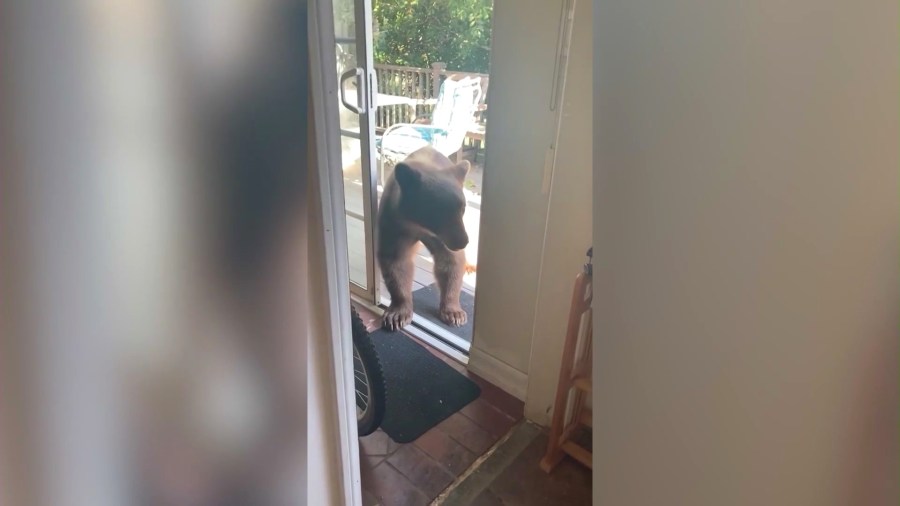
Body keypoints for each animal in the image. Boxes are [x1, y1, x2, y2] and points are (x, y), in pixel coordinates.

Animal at [376, 145, 472, 332]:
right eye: (440, 212)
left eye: (462, 208)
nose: (463, 241)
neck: (418, 226)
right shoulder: (394, 223)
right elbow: (396, 263)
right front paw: (397, 314)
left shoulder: (442, 238)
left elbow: (450, 261)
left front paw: (454, 313)